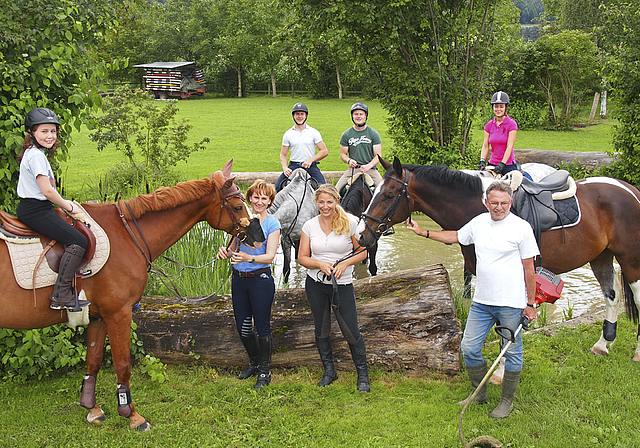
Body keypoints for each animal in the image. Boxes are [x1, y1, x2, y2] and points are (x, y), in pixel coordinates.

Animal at [0, 161, 262, 430]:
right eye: (238, 206)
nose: (259, 236)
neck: (127, 236)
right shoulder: (119, 314)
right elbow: (123, 364)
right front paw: (131, 414)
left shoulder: (98, 317)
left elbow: (93, 360)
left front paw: (92, 409)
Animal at [360, 157, 640, 360]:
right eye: (374, 192)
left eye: (389, 195)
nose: (362, 235)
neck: (479, 208)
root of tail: (630, 190)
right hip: (601, 256)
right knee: (612, 295)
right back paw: (603, 344)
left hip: (630, 259)